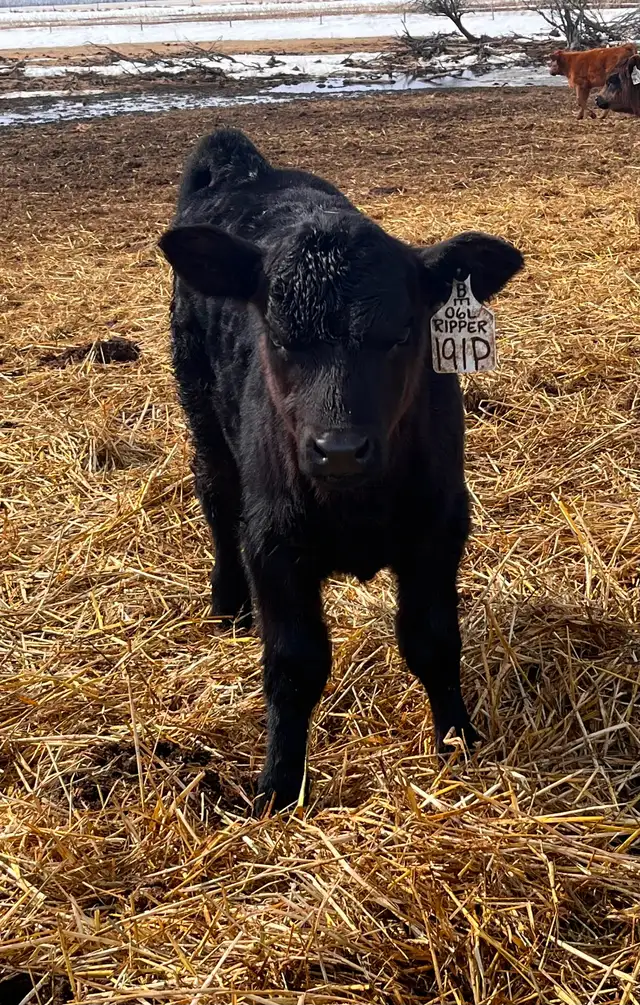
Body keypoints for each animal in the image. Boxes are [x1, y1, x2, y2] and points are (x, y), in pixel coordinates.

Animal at [159, 128, 524, 812]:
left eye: (402, 333)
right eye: (279, 336)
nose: (341, 449)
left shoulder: (439, 527)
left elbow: (433, 640)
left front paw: (457, 742)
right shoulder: (273, 542)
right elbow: (293, 666)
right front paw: (279, 784)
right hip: (200, 407)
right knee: (215, 493)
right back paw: (227, 602)